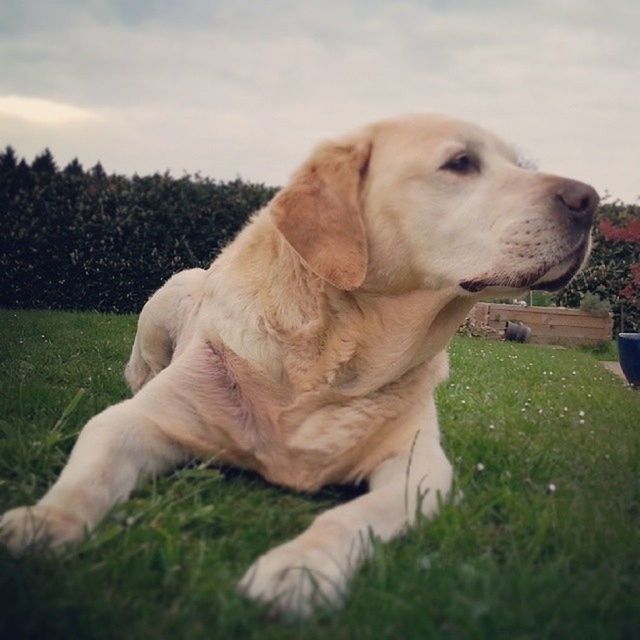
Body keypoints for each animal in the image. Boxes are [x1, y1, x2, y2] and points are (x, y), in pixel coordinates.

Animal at [1, 114, 600, 616]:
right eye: (460, 162)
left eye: (519, 164)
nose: (591, 199)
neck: (335, 353)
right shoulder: (136, 421)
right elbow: (91, 473)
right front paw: (42, 522)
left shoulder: (421, 469)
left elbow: (350, 517)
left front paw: (299, 568)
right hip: (174, 291)